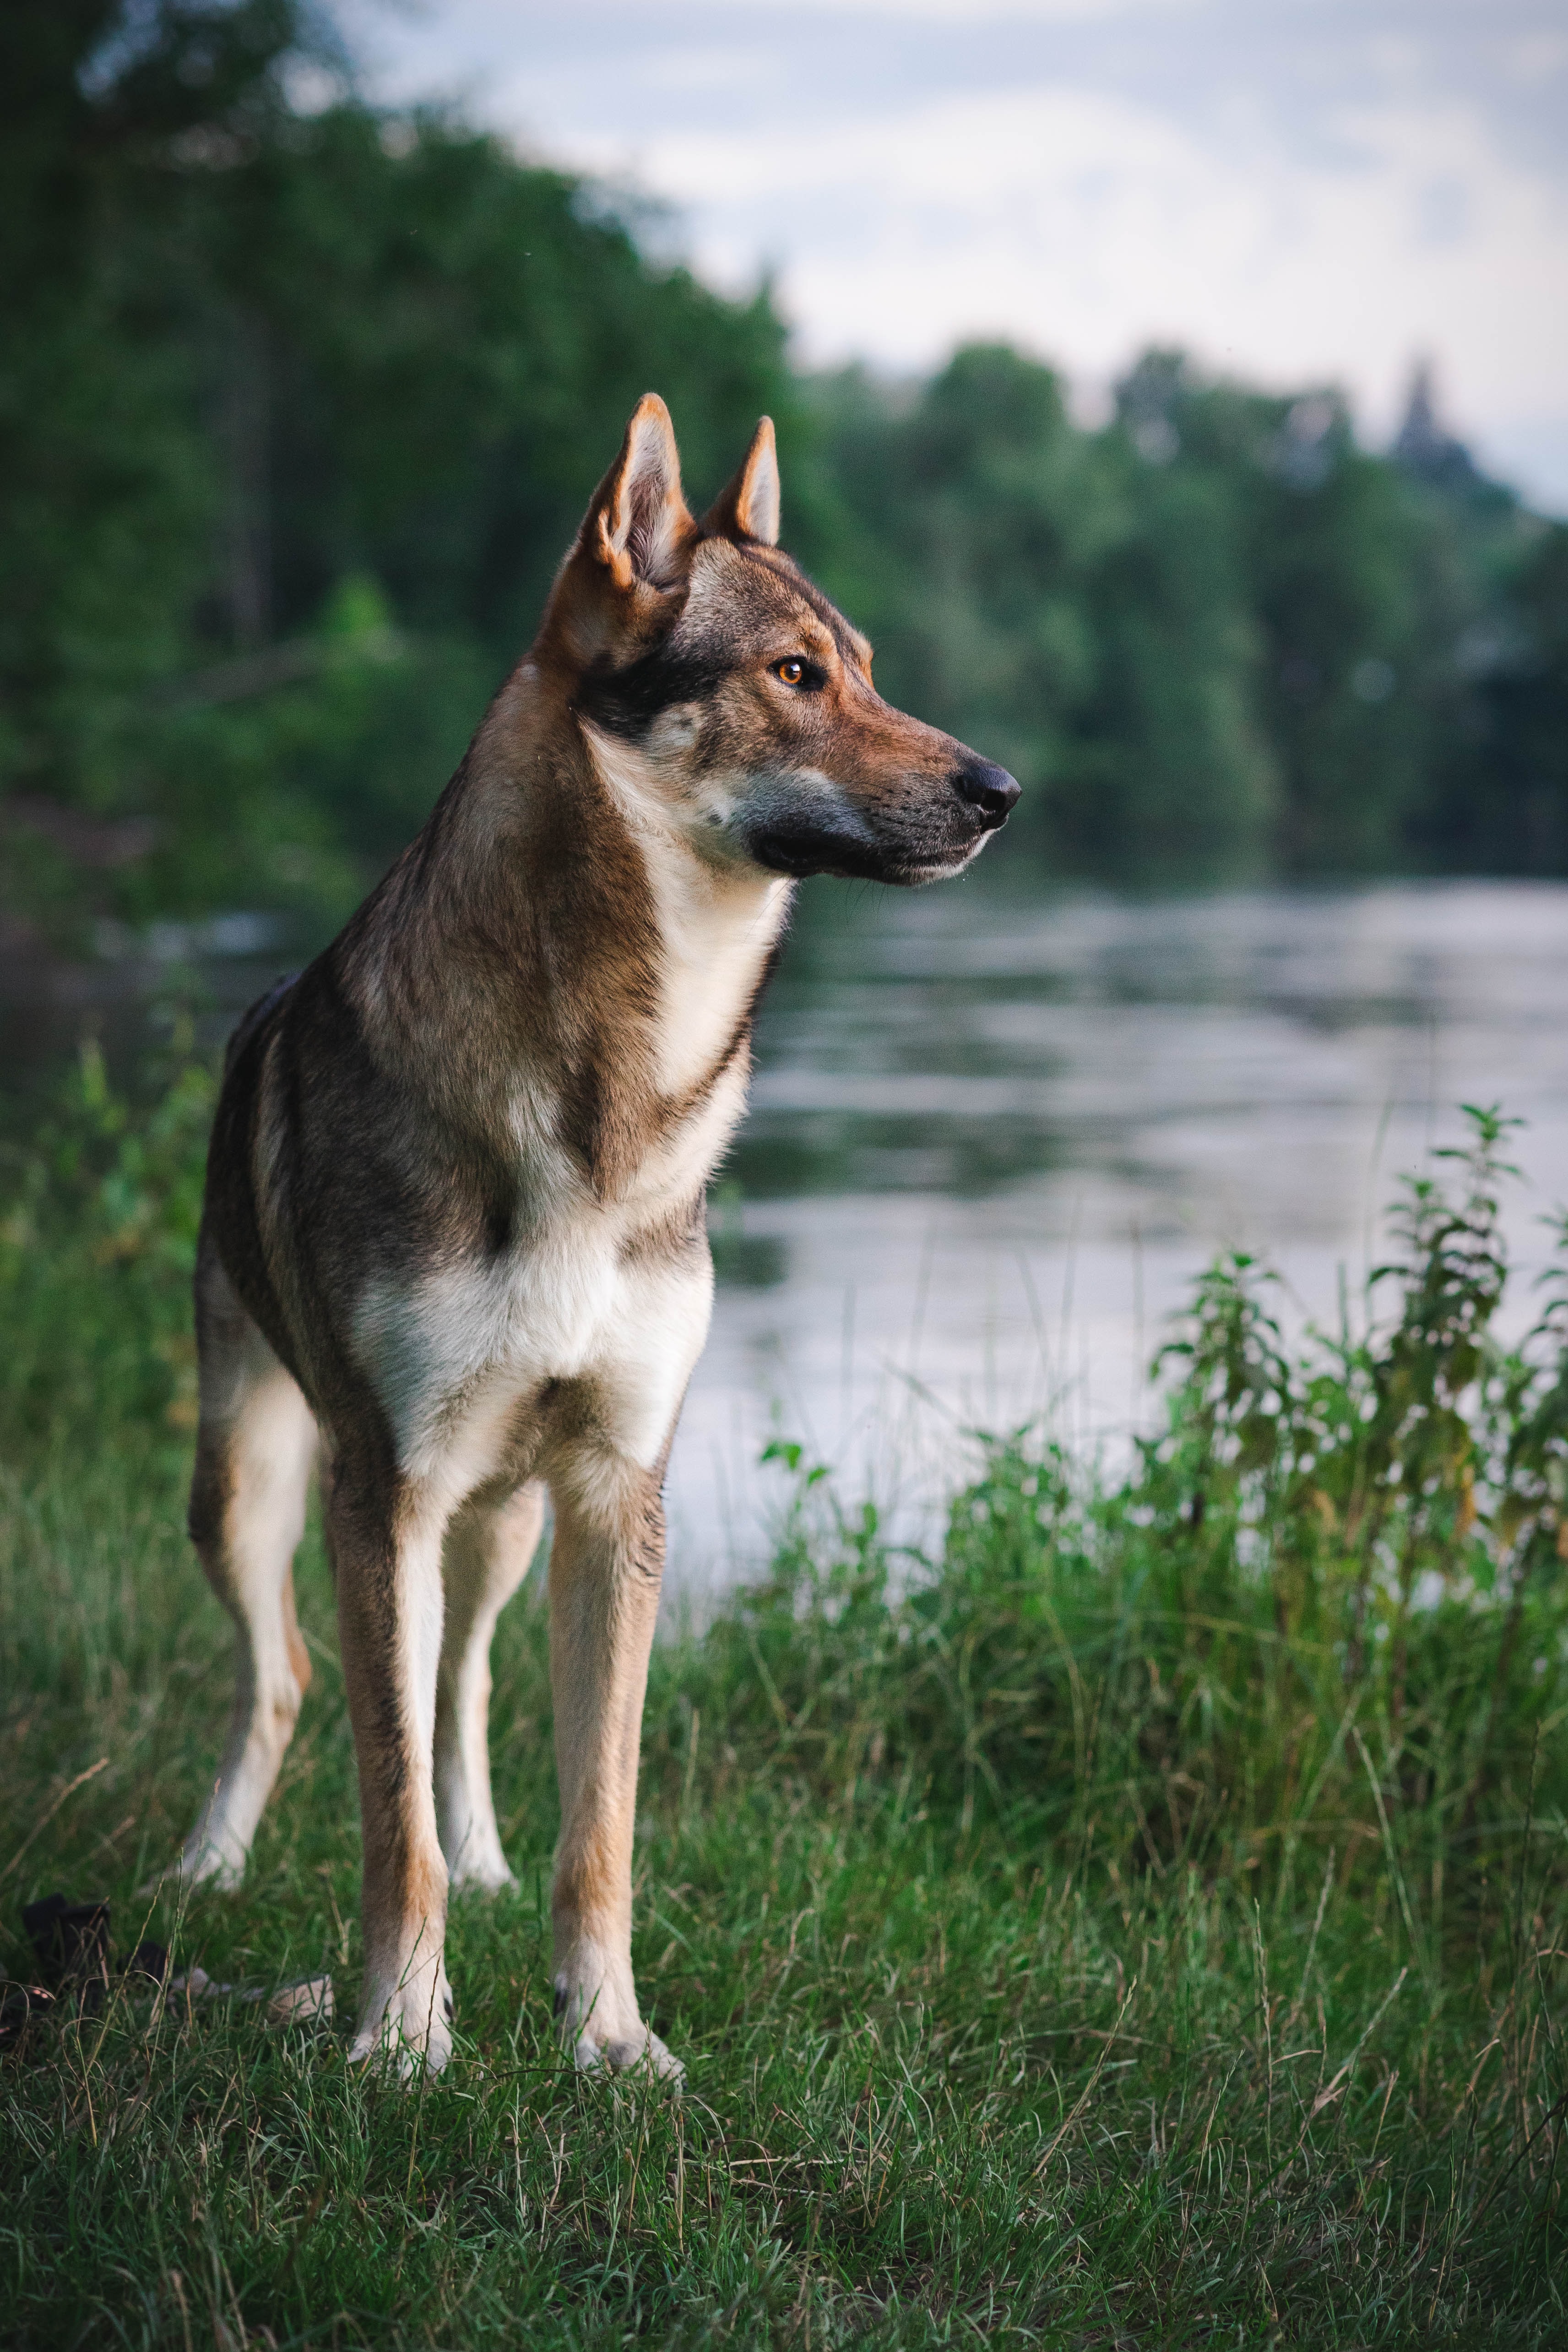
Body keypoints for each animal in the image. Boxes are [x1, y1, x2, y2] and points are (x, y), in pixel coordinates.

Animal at [177, 395, 1025, 2070]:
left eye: (868, 665)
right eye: (793, 674)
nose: (1000, 791)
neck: (609, 1101)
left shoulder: (618, 1492)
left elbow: (601, 1822)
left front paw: (609, 2041)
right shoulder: (382, 1488)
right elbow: (386, 1821)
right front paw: (399, 2040)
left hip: (501, 1526)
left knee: (461, 1686)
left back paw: (487, 1857)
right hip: (251, 1487)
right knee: (288, 1678)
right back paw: (208, 1865)